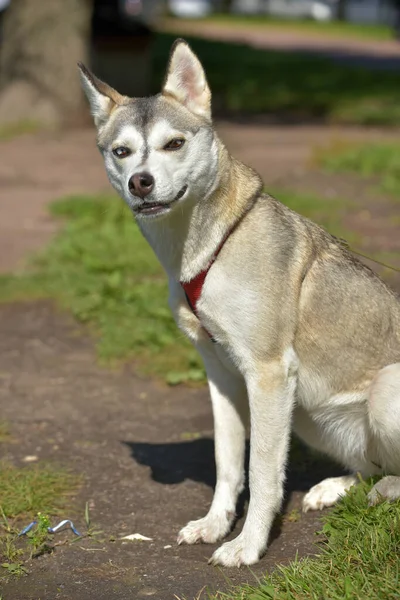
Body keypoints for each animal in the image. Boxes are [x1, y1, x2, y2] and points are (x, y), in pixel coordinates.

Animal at [78, 38, 400, 568]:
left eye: (173, 144)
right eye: (121, 152)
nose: (140, 182)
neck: (207, 246)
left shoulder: (268, 374)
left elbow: (264, 473)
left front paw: (248, 545)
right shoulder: (223, 375)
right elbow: (229, 463)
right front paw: (215, 524)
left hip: (380, 392)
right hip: (308, 414)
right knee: (370, 466)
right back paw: (335, 487)